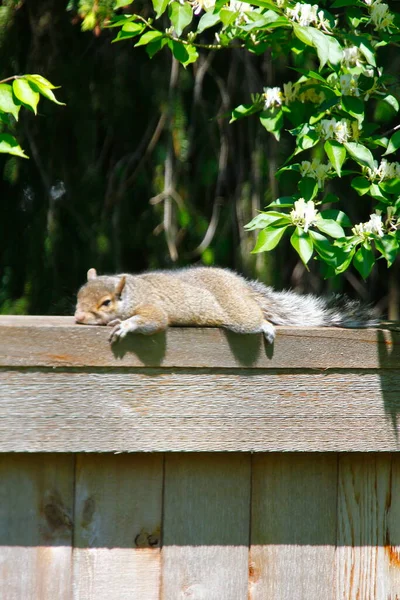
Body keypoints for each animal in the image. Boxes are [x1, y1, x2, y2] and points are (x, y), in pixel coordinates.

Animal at [74, 266, 378, 344]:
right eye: (78, 296)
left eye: (106, 302)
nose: (78, 318)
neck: (132, 293)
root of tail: (241, 287)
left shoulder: (152, 306)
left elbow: (154, 321)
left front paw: (124, 325)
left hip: (240, 316)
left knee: (255, 318)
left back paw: (266, 326)